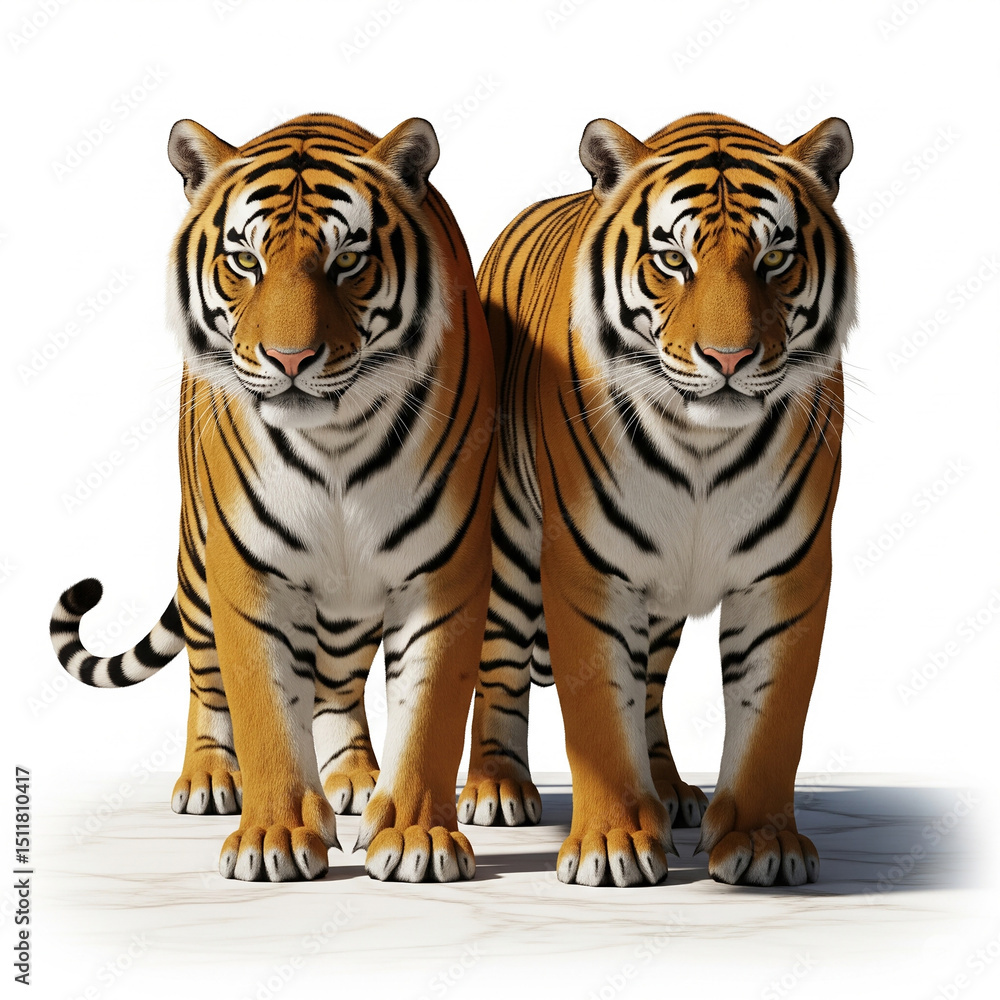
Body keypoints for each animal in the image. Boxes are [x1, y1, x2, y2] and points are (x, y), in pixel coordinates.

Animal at [48, 112, 496, 883]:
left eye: (348, 261)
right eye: (245, 262)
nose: (290, 360)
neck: (337, 441)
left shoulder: (446, 573)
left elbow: (431, 711)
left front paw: (415, 835)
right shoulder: (247, 571)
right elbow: (263, 705)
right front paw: (274, 837)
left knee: (340, 679)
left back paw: (354, 777)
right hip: (197, 563)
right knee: (205, 674)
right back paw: (207, 778)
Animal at [457, 112, 856, 888]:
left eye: (774, 258)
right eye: (673, 260)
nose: (729, 359)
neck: (703, 448)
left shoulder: (787, 574)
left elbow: (772, 715)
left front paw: (761, 843)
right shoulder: (587, 567)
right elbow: (597, 707)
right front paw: (611, 843)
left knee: (649, 686)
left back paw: (669, 789)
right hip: (509, 543)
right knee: (499, 662)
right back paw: (496, 787)